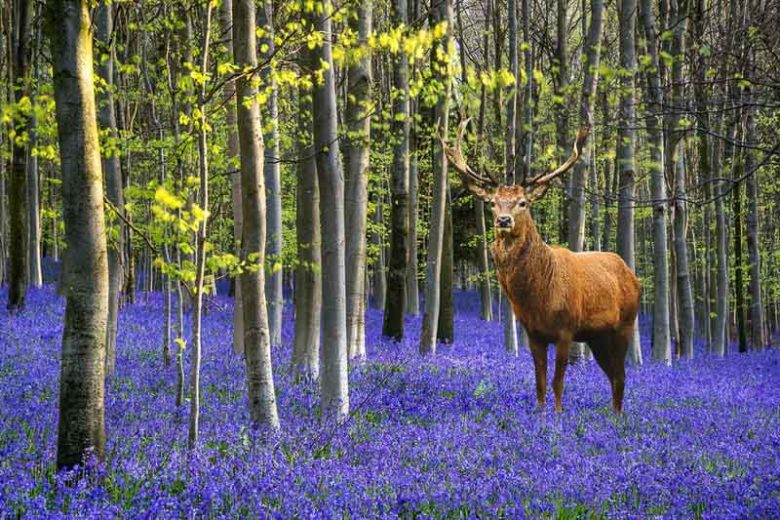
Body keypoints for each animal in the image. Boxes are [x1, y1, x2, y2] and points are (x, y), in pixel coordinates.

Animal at [443, 120, 640, 414]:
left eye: (523, 203)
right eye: (492, 203)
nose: (504, 220)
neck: (538, 297)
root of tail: (632, 274)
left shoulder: (566, 329)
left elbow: (558, 382)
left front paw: (557, 416)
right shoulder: (533, 333)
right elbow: (540, 382)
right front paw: (538, 414)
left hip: (625, 324)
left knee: (621, 376)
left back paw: (617, 418)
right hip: (597, 337)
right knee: (614, 375)